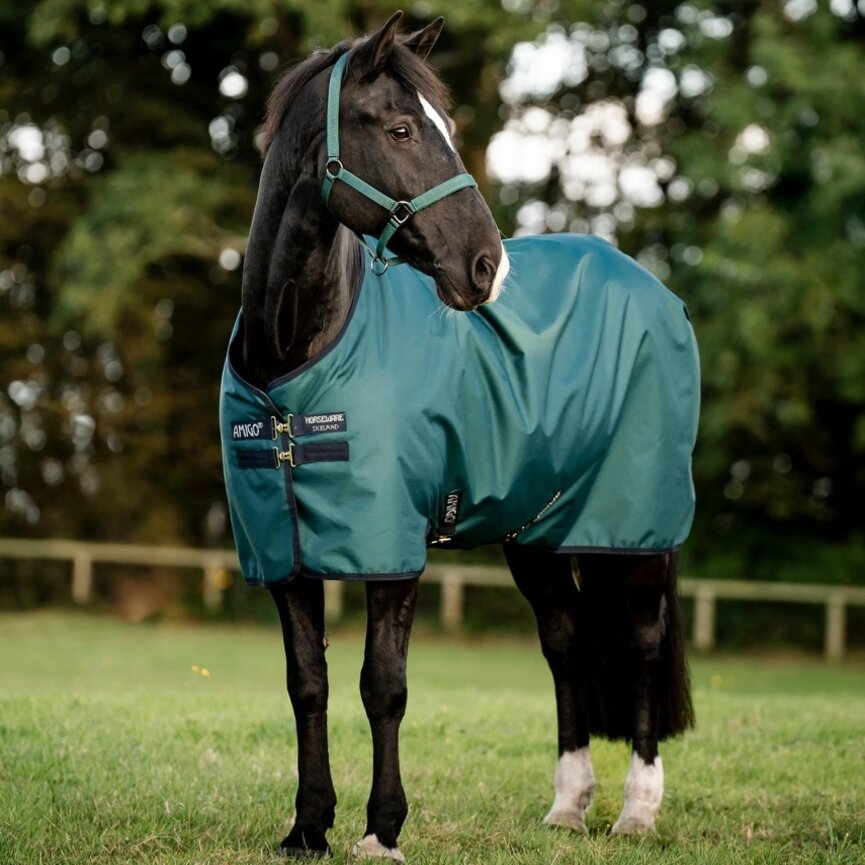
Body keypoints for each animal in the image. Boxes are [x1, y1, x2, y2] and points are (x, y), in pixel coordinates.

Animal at [219, 11, 698, 861]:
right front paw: (307, 826)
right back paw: (567, 805)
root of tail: (653, 288)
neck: (294, 364)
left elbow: (383, 685)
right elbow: (307, 683)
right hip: (536, 533)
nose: (486, 268)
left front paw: (381, 829)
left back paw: (636, 809)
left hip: (636, 528)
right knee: (565, 639)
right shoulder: (283, 554)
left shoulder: (392, 548)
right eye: (401, 128)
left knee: (640, 642)